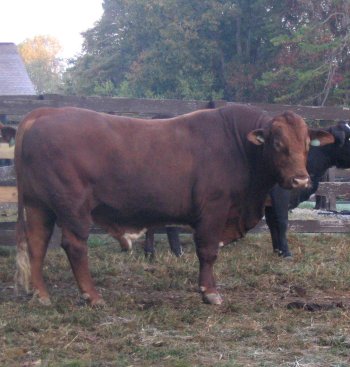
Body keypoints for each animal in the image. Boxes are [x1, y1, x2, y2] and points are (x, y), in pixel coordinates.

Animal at [11, 104, 334, 308]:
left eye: (307, 144)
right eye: (277, 143)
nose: (300, 178)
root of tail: (45, 113)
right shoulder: (213, 210)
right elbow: (207, 252)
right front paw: (210, 292)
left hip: (39, 206)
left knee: (37, 244)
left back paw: (42, 295)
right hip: (72, 207)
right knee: (74, 246)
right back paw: (92, 296)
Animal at [266, 122, 350, 258]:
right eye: (349, 138)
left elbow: (272, 223)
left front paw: (277, 251)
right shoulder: (279, 194)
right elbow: (282, 222)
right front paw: (286, 253)